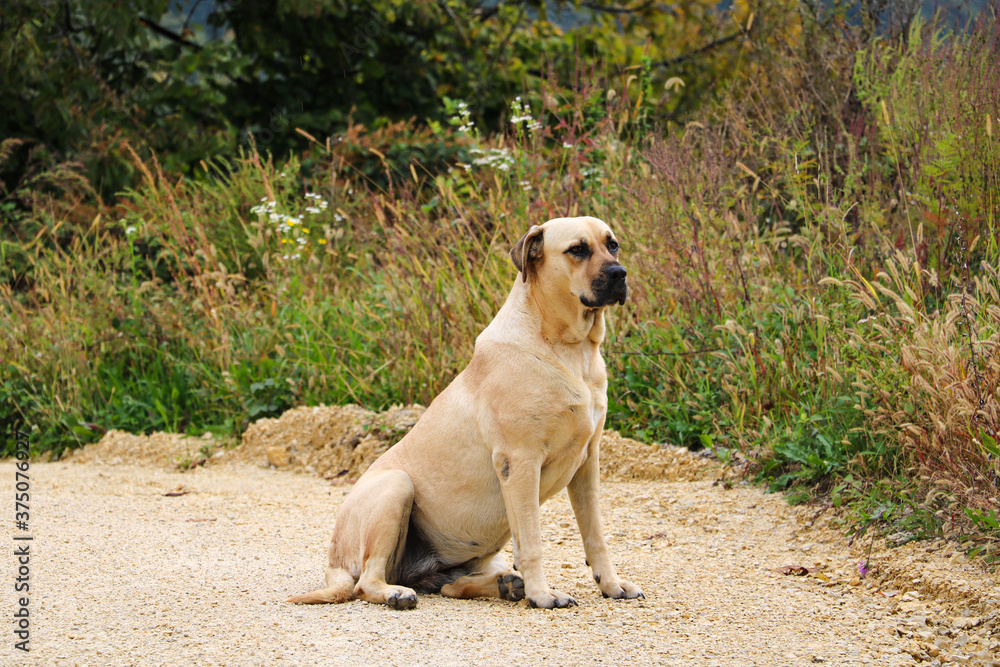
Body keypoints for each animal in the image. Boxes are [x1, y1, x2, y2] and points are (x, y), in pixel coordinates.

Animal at [288, 217, 648, 608]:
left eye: (612, 245)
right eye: (577, 250)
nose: (619, 273)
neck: (570, 348)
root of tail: (334, 560)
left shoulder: (587, 464)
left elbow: (595, 536)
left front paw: (611, 584)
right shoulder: (520, 462)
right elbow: (533, 542)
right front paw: (541, 594)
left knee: (450, 585)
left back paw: (507, 585)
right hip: (396, 487)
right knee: (367, 582)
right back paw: (398, 593)